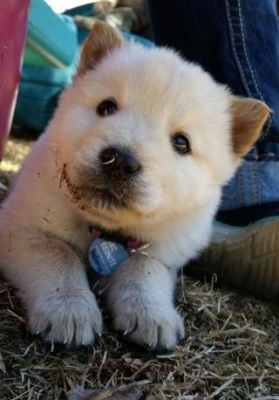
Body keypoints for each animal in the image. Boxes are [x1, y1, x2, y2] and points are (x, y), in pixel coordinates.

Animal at [0, 21, 272, 348]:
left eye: (181, 143)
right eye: (106, 107)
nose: (119, 160)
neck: (104, 229)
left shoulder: (163, 251)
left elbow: (143, 270)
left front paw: (152, 316)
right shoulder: (20, 228)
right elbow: (57, 254)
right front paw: (70, 310)